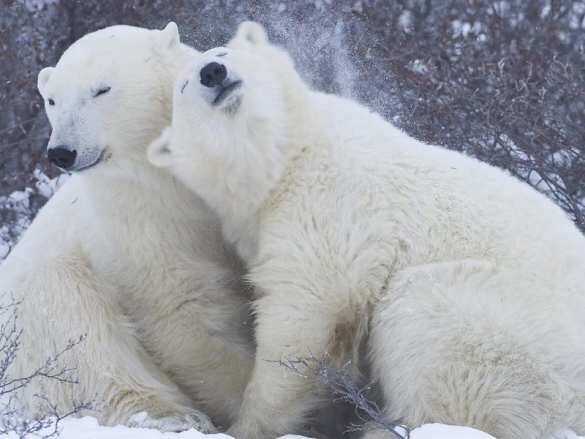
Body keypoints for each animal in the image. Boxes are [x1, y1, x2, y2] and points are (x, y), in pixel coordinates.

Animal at [0, 22, 253, 432]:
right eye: (52, 100)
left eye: (101, 89)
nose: (62, 152)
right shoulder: (138, 220)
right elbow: (183, 308)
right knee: (78, 328)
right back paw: (172, 416)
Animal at [148, 22, 584, 439]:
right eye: (183, 86)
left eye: (225, 52)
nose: (212, 72)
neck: (286, 158)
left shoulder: (328, 204)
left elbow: (304, 313)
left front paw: (247, 425)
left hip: (508, 330)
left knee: (428, 323)